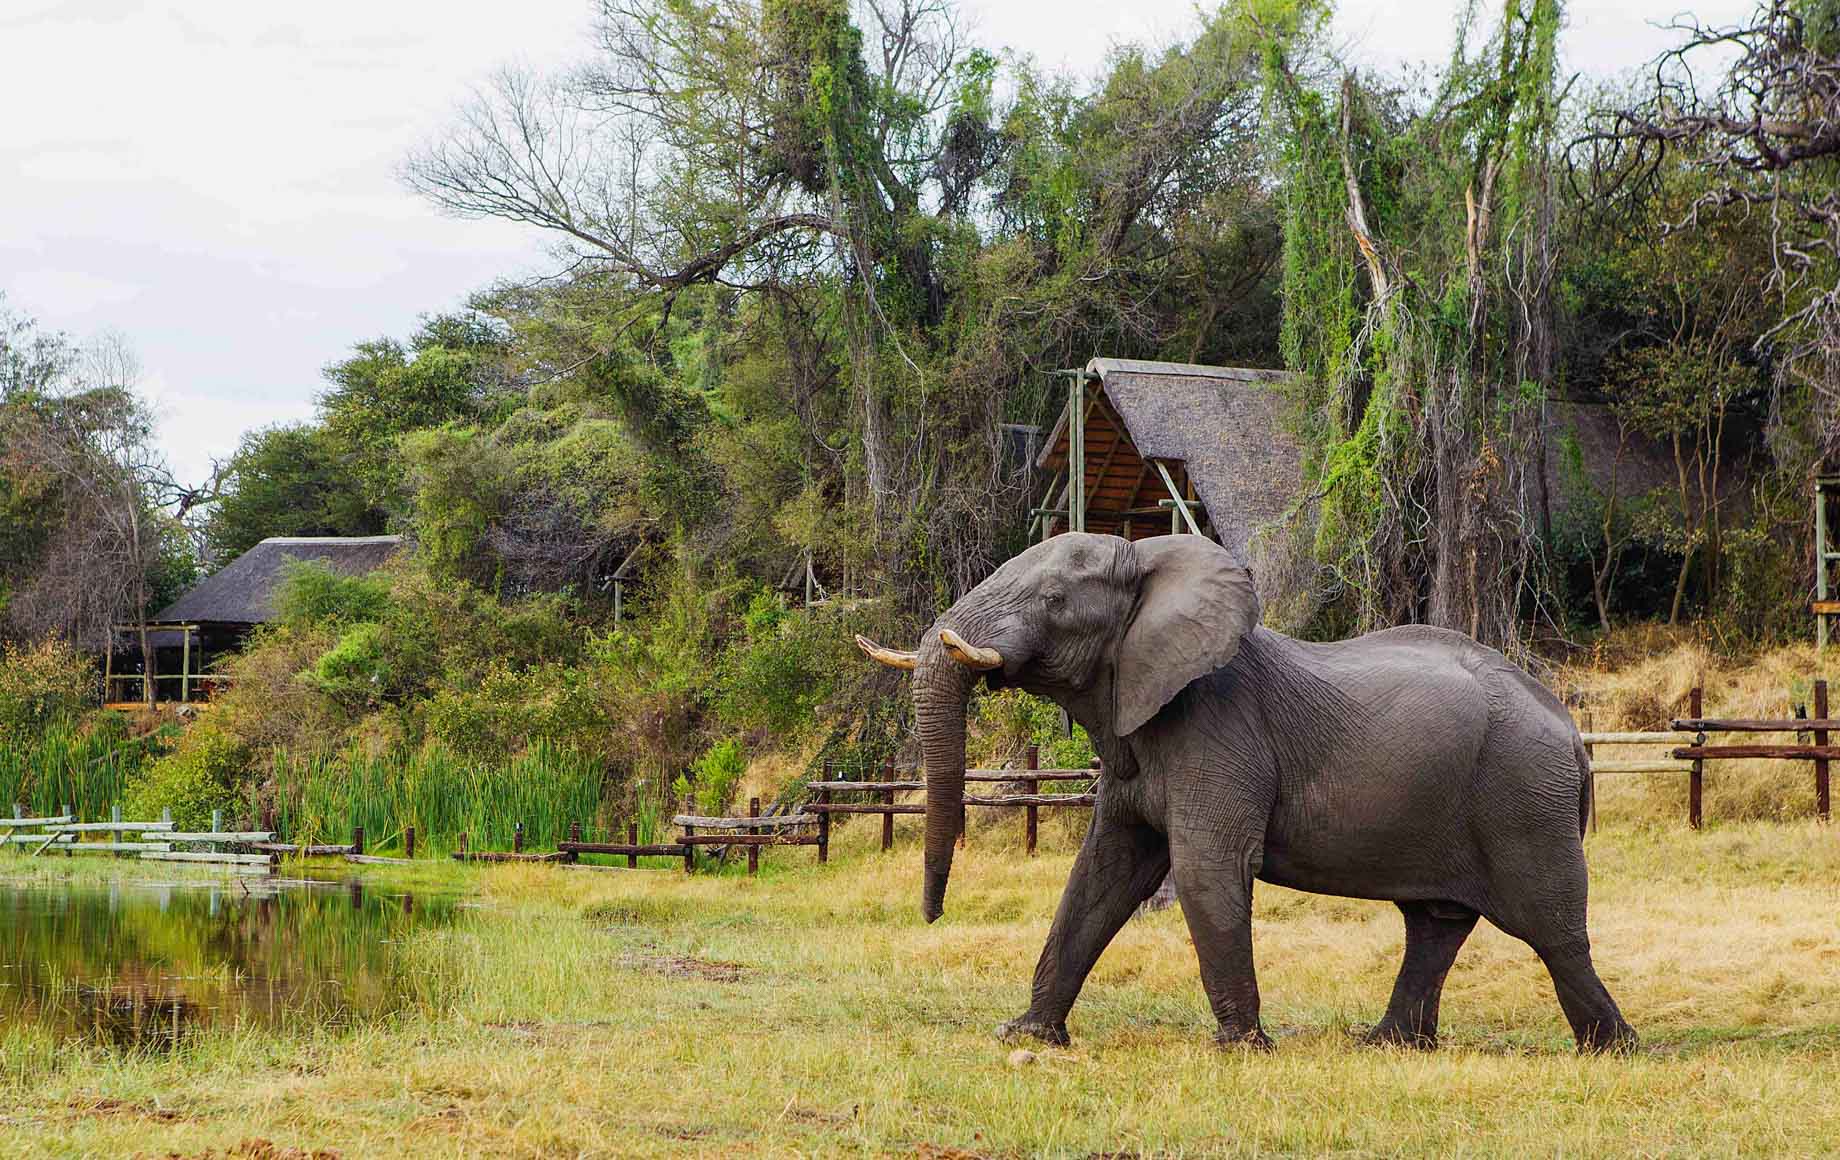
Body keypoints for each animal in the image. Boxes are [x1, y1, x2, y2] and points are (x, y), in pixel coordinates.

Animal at [861, 530, 1641, 1060]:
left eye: (1053, 603)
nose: (931, 917)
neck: (1150, 563)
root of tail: (1571, 732)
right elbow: (1103, 874)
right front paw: (1025, 1035)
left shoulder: (1217, 727)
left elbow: (1206, 870)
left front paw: (1239, 1049)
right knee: (1436, 923)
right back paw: (1385, 1045)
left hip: (1522, 795)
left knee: (1551, 925)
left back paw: (1613, 1050)